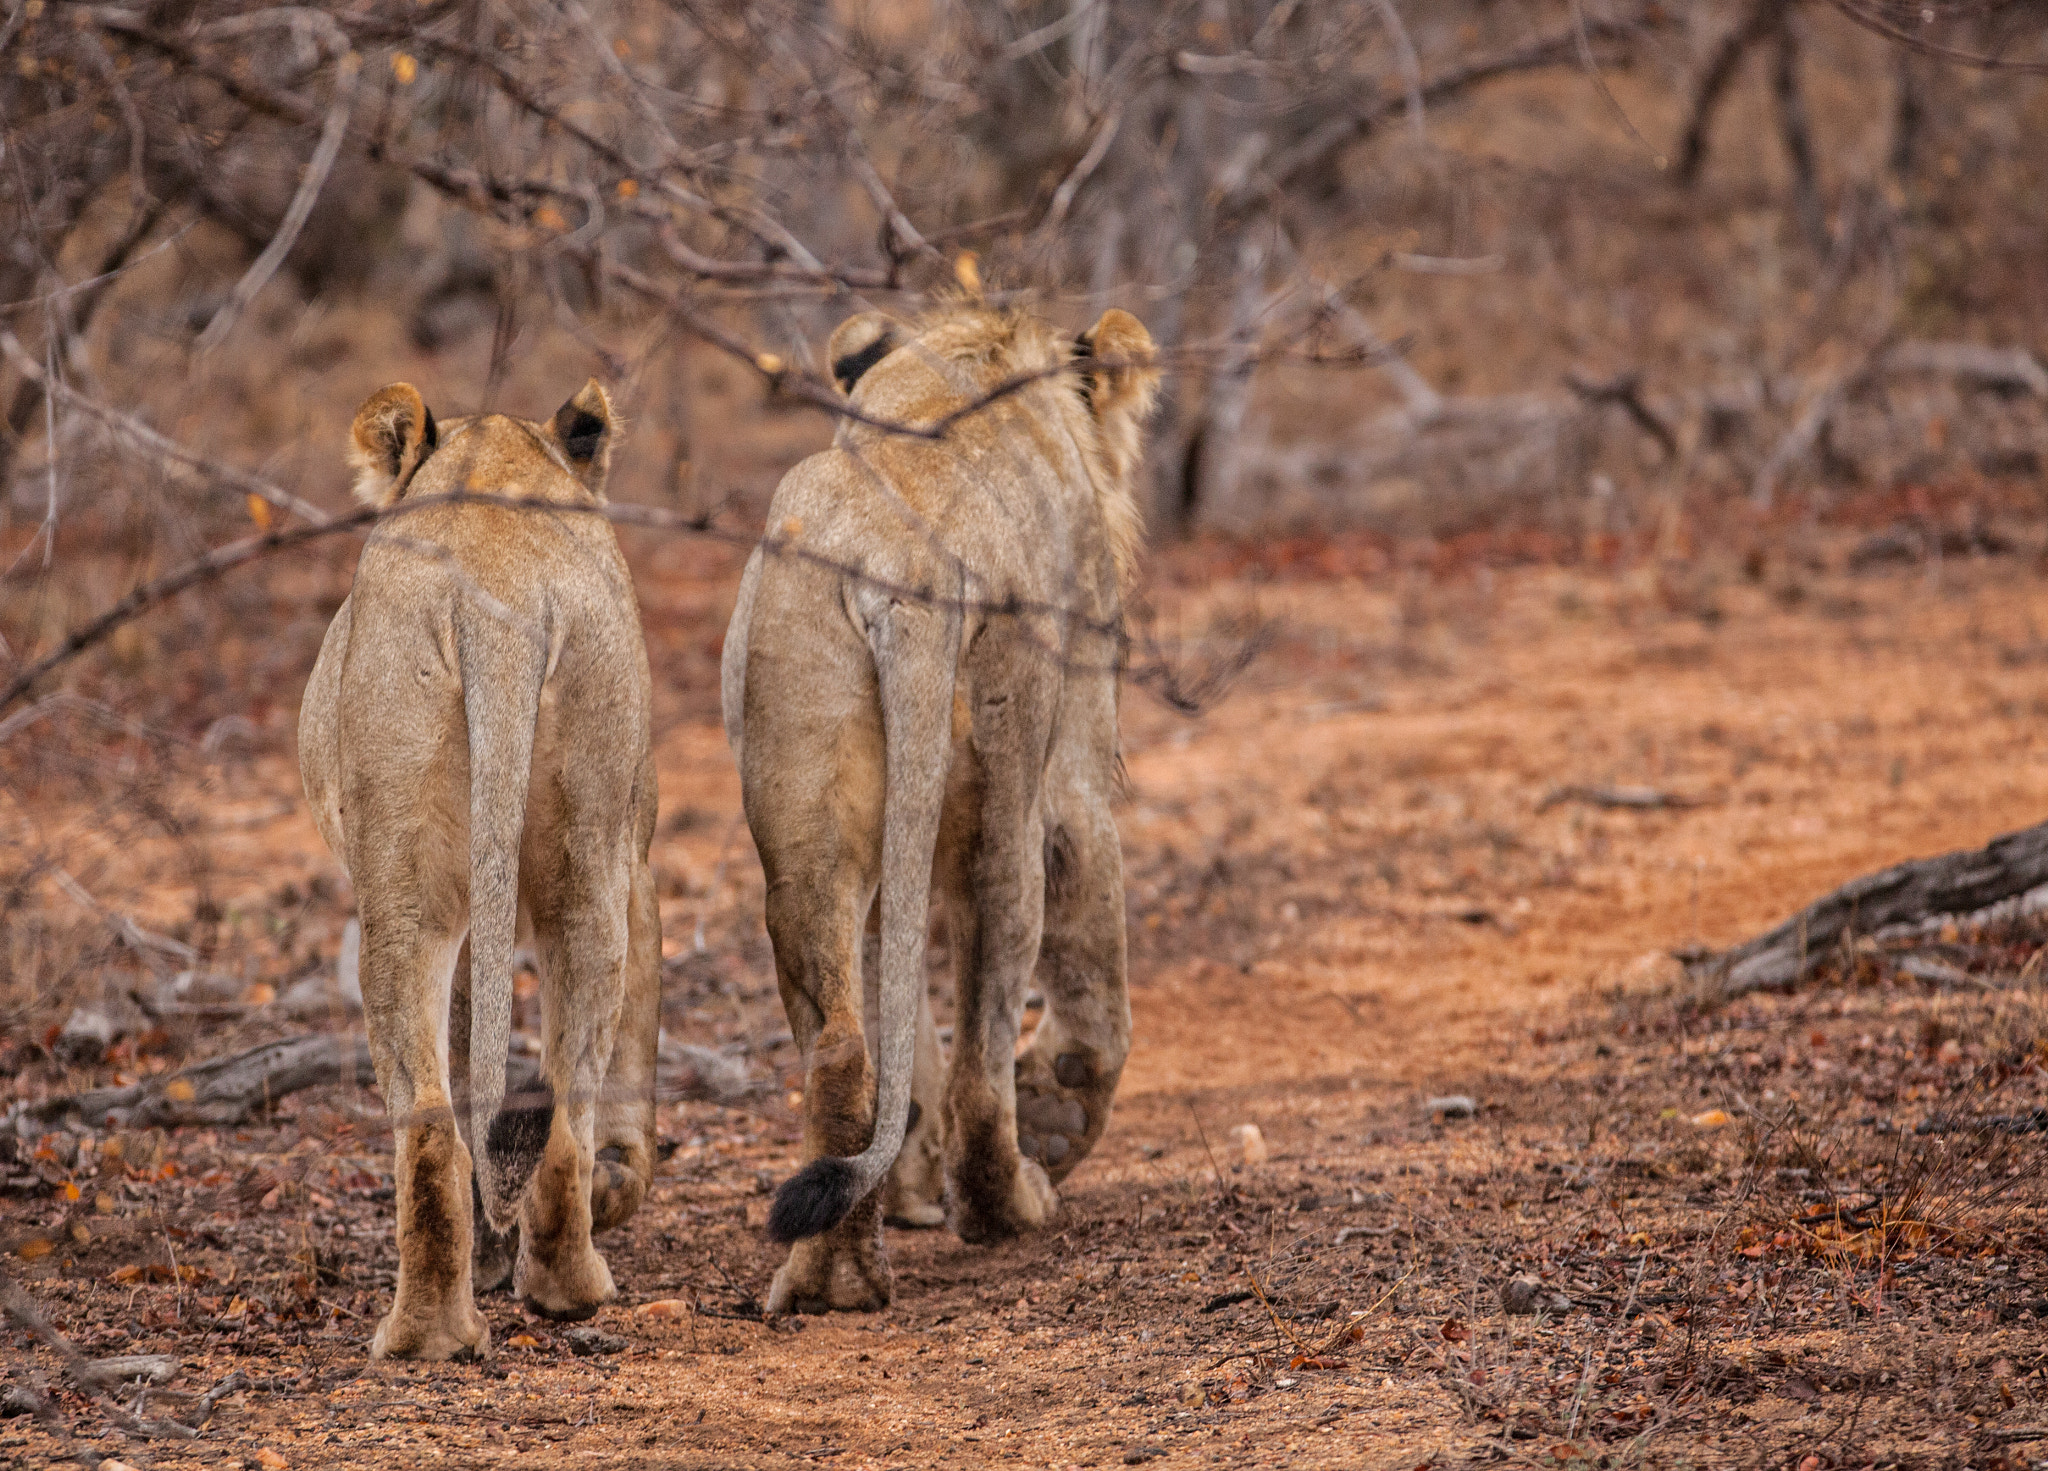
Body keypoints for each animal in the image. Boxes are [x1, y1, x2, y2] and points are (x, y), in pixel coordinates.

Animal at [298, 380, 661, 1358]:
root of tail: (497, 597)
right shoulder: (634, 863)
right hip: (584, 858)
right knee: (557, 1107)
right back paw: (560, 1287)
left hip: (409, 885)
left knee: (436, 1119)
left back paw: (435, 1327)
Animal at [721, 302, 1159, 1312]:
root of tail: (900, 562)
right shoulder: (1079, 759)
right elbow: (1093, 957)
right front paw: (1059, 1111)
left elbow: (900, 1007)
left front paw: (911, 1185)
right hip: (1006, 774)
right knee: (984, 1050)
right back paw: (1012, 1201)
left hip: (804, 795)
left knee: (844, 1045)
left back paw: (834, 1273)